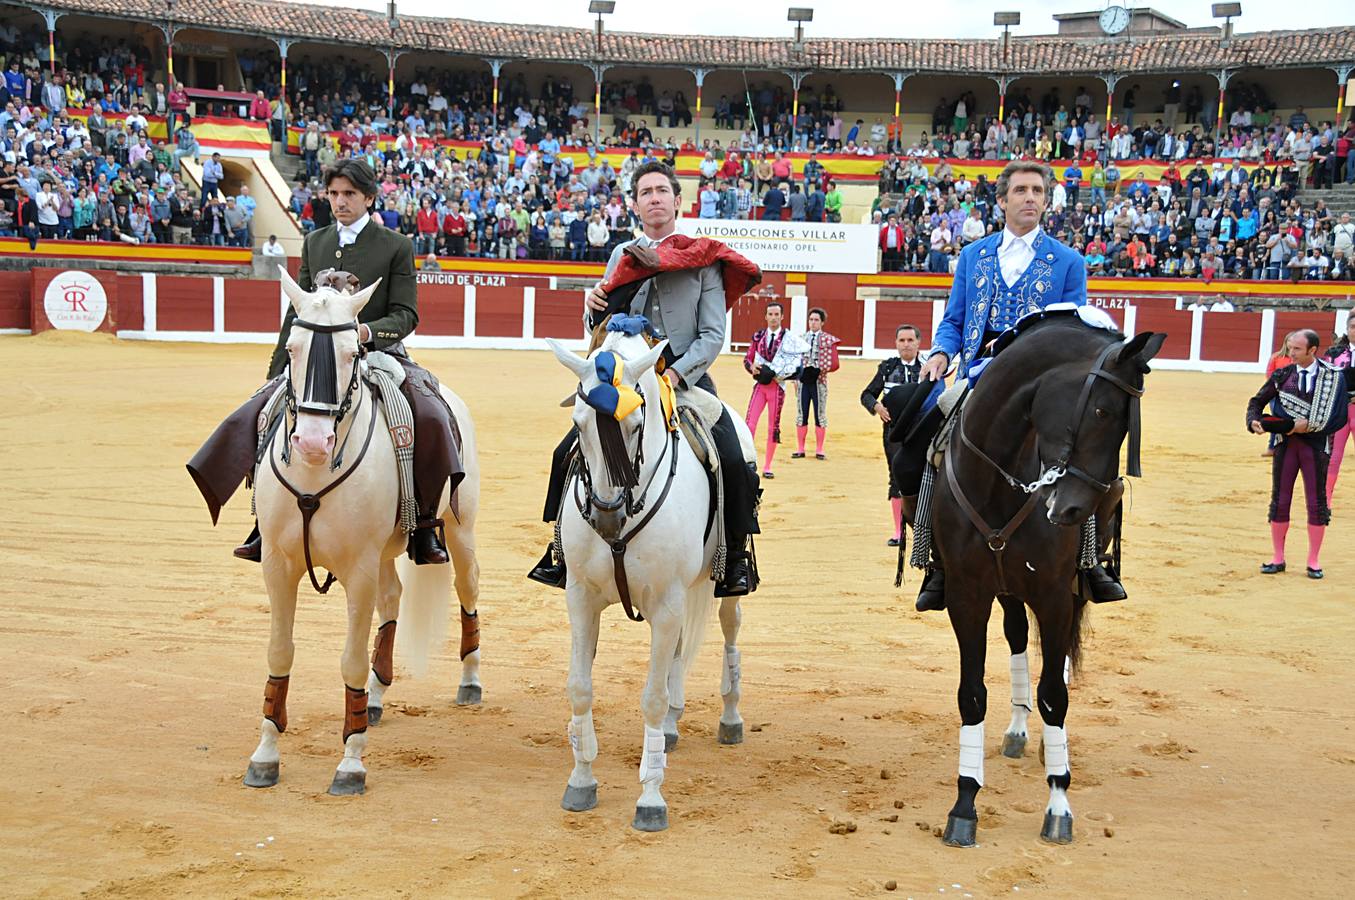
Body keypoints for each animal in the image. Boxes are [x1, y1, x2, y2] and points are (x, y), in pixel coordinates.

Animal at [245, 268, 487, 796]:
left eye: (351, 352)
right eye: (292, 347)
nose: (313, 443)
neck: (315, 475)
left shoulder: (356, 571)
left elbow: (350, 660)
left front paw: (350, 765)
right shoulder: (277, 565)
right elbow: (279, 653)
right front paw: (265, 755)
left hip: (460, 530)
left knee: (468, 589)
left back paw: (469, 681)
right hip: (383, 553)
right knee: (392, 598)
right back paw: (375, 697)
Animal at [544, 332, 747, 834]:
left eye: (636, 424)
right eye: (578, 425)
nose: (606, 516)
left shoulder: (667, 604)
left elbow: (652, 698)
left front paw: (651, 800)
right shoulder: (581, 598)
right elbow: (580, 687)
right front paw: (581, 781)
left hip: (721, 587)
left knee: (730, 630)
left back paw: (730, 718)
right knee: (677, 655)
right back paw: (672, 729)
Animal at [932, 314, 1165, 845]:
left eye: (1127, 424)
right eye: (1100, 409)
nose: (1072, 510)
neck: (998, 480)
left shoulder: (1055, 594)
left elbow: (1054, 696)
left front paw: (1059, 802)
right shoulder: (966, 595)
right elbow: (972, 694)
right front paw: (964, 804)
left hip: (1069, 587)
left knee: (1054, 662)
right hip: (1008, 589)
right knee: (1019, 637)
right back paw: (1019, 729)